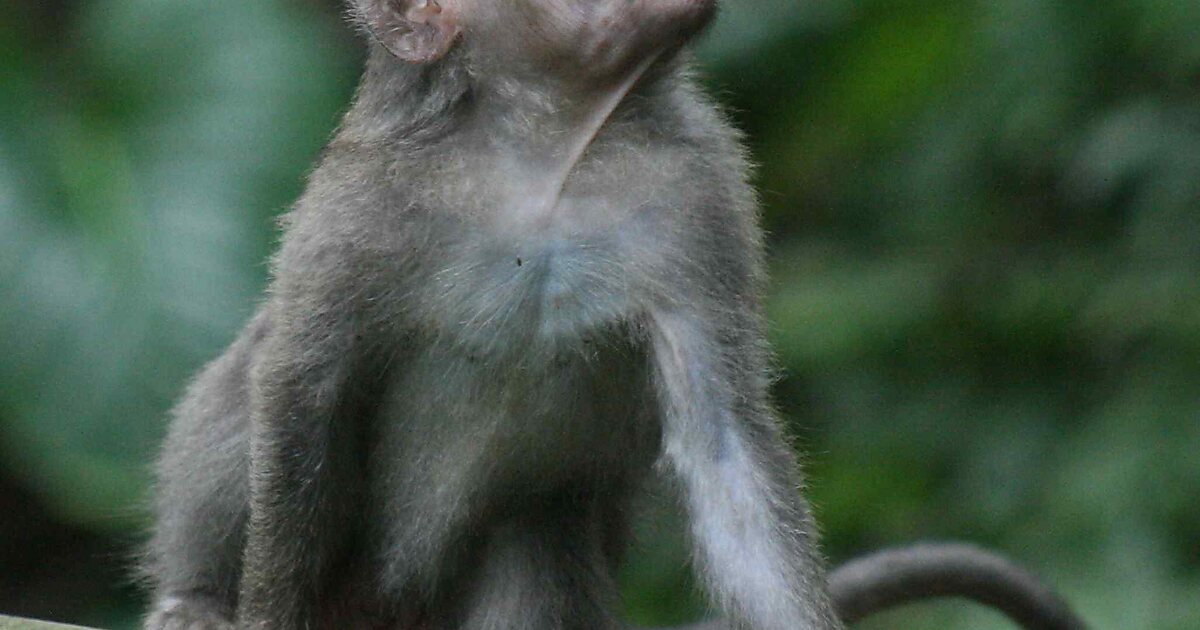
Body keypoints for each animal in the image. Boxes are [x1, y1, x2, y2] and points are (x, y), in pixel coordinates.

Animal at [138, 1, 1089, 628]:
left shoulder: (698, 194)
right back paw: (197, 600)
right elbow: (303, 384)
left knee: (535, 529)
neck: (546, 158)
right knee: (248, 384)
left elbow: (723, 440)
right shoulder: (361, 208)